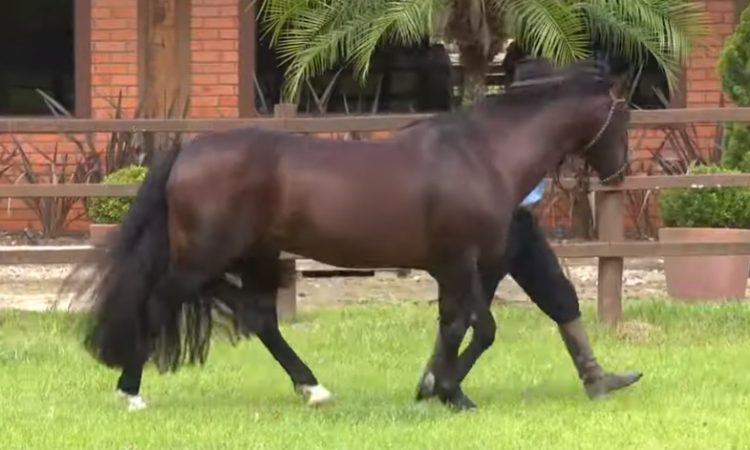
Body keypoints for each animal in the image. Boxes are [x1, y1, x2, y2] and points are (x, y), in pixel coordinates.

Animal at [62, 60, 630, 412]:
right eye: (625, 112)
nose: (620, 173)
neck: (481, 154)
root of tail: (187, 154)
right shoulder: (458, 261)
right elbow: (481, 328)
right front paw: (452, 393)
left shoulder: (455, 267)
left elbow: (455, 327)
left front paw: (438, 389)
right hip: (204, 256)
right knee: (162, 303)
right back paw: (131, 393)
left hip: (252, 255)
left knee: (257, 316)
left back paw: (313, 389)